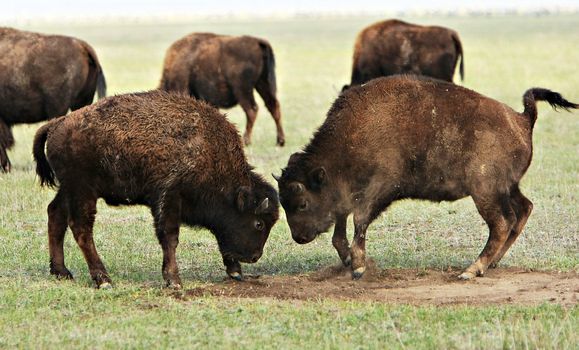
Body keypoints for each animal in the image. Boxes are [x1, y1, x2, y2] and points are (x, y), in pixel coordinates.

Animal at [32, 90, 280, 290]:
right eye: (258, 223)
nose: (254, 257)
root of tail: (57, 124)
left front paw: (234, 271)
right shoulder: (168, 199)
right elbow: (170, 237)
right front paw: (174, 281)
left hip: (69, 190)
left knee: (55, 215)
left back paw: (61, 272)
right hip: (82, 191)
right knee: (81, 228)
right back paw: (103, 280)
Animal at [278, 75, 576, 280]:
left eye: (302, 202)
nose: (299, 237)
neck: (350, 136)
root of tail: (522, 119)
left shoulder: (376, 192)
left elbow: (359, 223)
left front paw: (359, 267)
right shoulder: (348, 197)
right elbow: (340, 231)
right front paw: (350, 262)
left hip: (485, 192)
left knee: (502, 223)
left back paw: (471, 270)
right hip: (508, 188)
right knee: (523, 210)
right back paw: (490, 264)